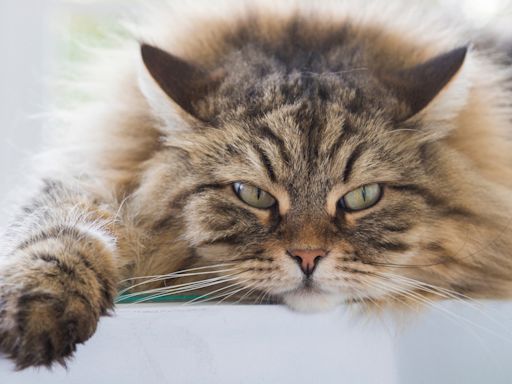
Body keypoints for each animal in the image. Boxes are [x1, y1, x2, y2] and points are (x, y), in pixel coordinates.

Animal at [1, 0, 512, 370]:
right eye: (254, 194)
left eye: (362, 197)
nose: (308, 257)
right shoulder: (95, 176)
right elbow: (61, 231)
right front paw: (39, 309)